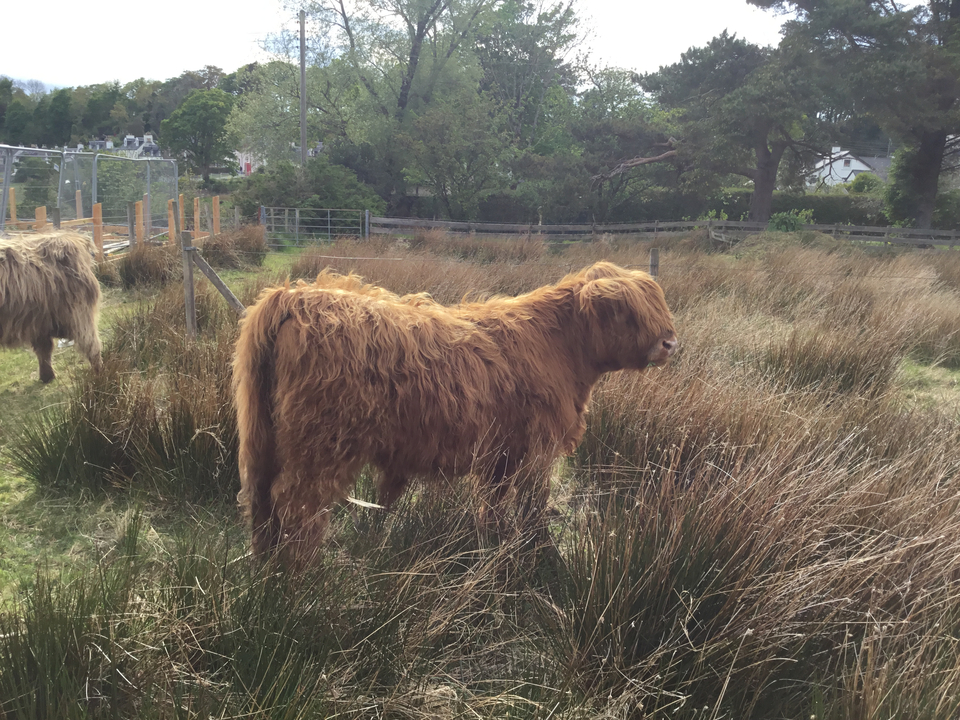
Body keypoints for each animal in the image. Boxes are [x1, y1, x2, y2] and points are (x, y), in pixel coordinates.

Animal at [0, 231, 102, 383]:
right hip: (41, 319)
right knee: (44, 348)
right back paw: (47, 376)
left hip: (78, 313)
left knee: (91, 345)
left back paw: (101, 375)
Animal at [233, 261, 678, 560]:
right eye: (625, 312)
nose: (670, 343)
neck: (560, 347)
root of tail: (294, 297)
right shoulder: (538, 448)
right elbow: (534, 504)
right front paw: (542, 552)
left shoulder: (503, 454)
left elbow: (495, 504)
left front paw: (494, 541)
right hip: (320, 447)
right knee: (297, 506)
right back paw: (301, 580)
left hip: (262, 438)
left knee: (261, 499)